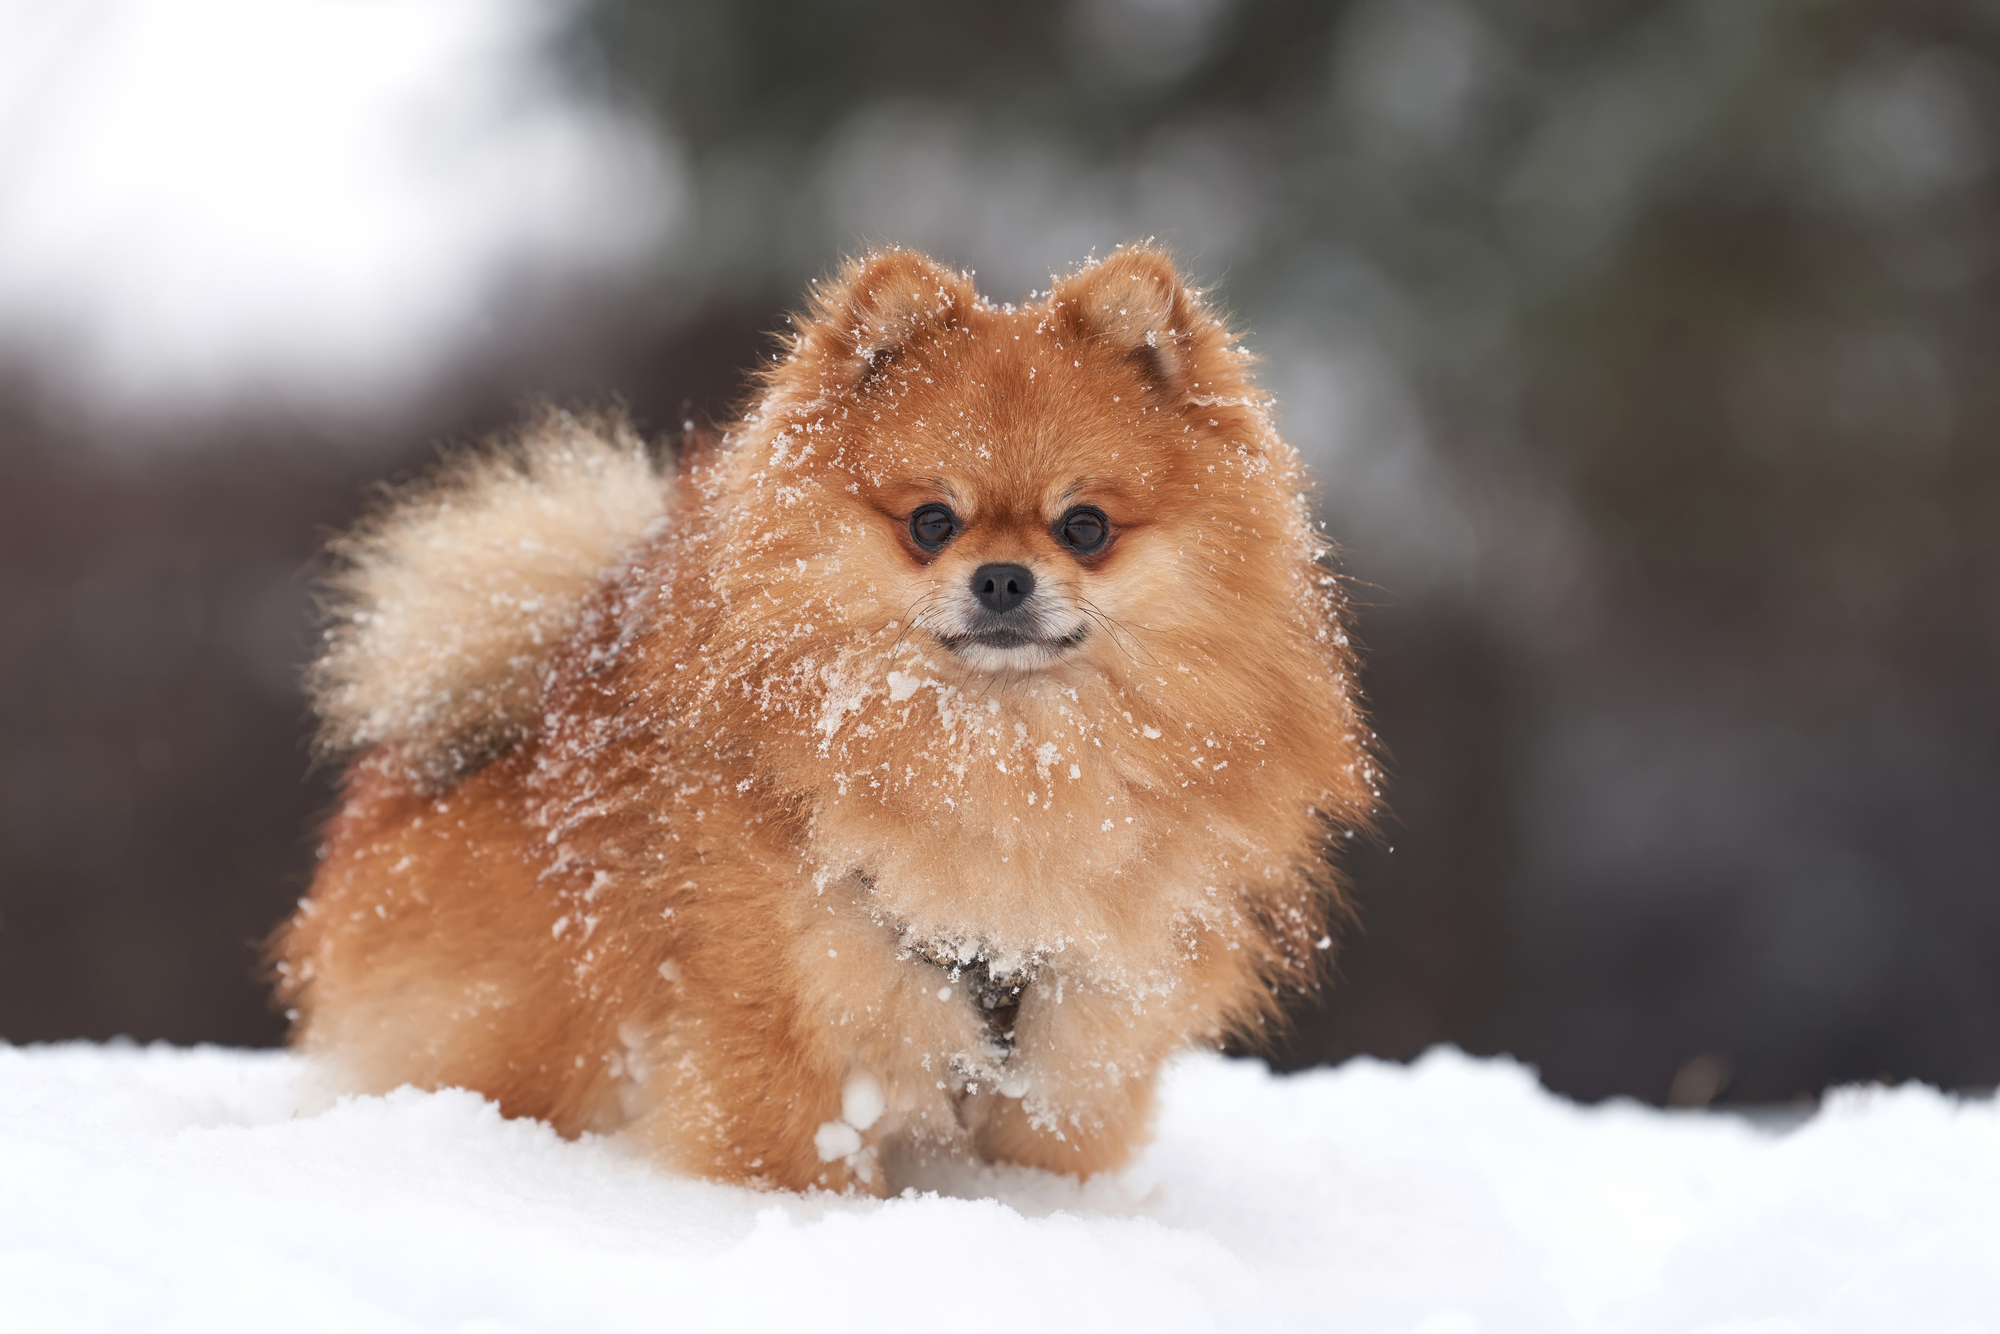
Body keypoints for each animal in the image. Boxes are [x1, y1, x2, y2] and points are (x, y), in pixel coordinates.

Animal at [274, 245, 1376, 1192]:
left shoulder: (1074, 1054)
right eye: (931, 520)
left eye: (1084, 527)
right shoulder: (790, 1037)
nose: (1002, 577)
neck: (1003, 756)